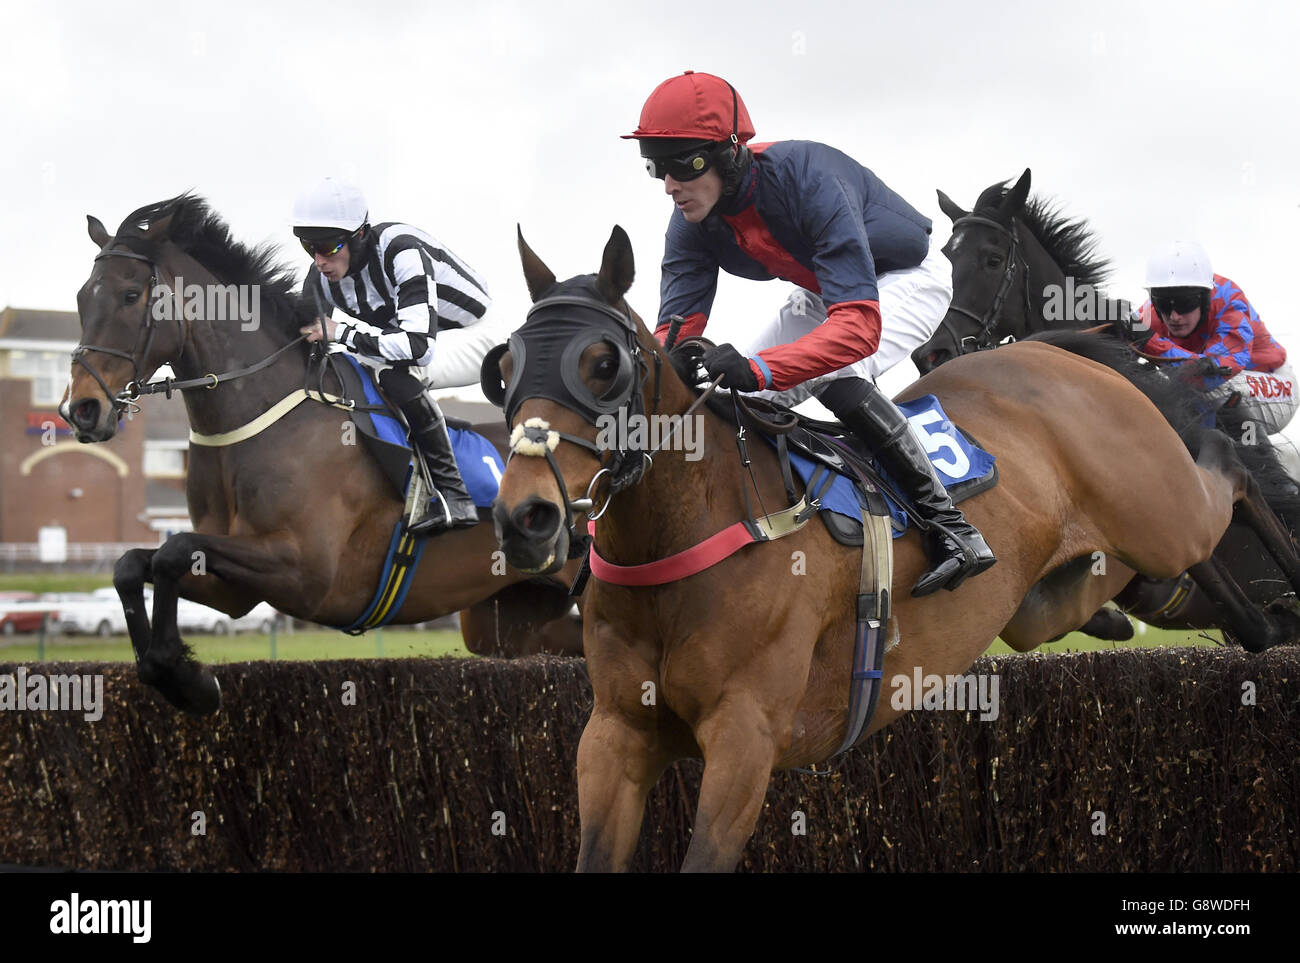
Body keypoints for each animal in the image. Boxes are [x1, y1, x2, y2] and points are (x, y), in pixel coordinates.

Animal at [63, 193, 582, 712]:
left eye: (131, 295)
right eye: (82, 297)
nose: (82, 410)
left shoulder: (307, 572)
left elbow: (173, 551)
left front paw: (188, 680)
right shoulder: (236, 590)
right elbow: (132, 565)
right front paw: (174, 674)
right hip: (514, 618)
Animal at [486, 224, 1300, 873]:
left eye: (604, 364)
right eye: (506, 366)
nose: (526, 517)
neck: (690, 530)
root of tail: (1058, 351)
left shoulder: (744, 741)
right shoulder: (614, 737)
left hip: (1162, 511)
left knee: (1229, 466)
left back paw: (1279, 592)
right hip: (1049, 594)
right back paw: (1243, 622)